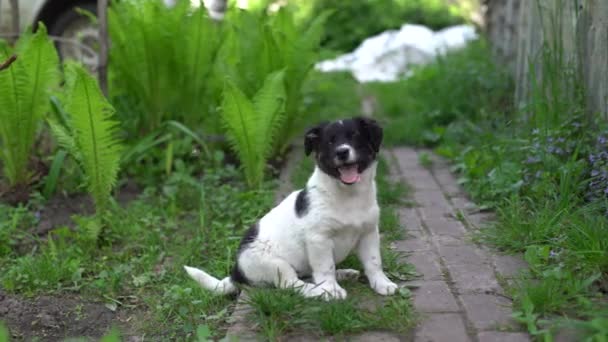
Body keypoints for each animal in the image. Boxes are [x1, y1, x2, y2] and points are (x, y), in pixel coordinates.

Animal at [183, 117, 400, 300]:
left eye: (355, 136)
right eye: (329, 142)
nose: (342, 152)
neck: (349, 196)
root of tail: (236, 274)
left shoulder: (369, 232)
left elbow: (374, 262)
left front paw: (382, 283)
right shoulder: (318, 239)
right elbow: (325, 266)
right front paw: (331, 289)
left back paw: (343, 274)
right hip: (276, 264)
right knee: (291, 284)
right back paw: (318, 290)